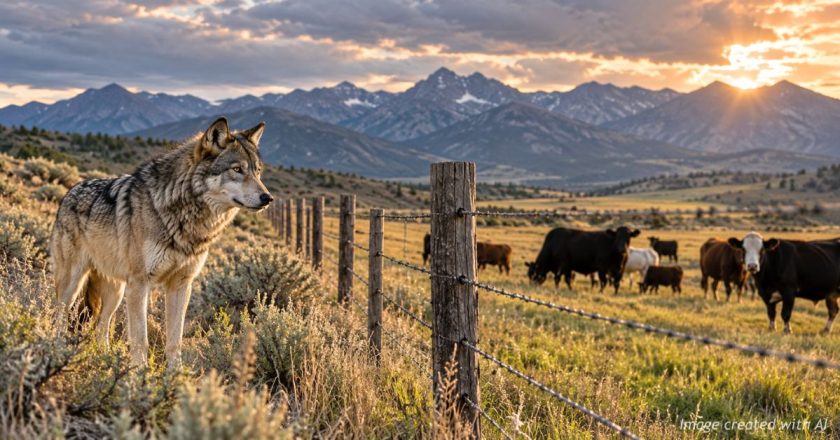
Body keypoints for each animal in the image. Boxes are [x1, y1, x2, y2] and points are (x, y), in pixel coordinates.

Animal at [50, 117, 273, 367]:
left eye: (258, 171)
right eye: (237, 169)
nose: (267, 198)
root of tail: (69, 192)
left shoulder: (181, 284)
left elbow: (174, 342)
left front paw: (176, 374)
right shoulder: (139, 284)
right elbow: (140, 340)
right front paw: (138, 374)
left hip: (115, 292)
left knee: (101, 326)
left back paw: (105, 360)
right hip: (73, 284)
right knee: (60, 318)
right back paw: (56, 351)